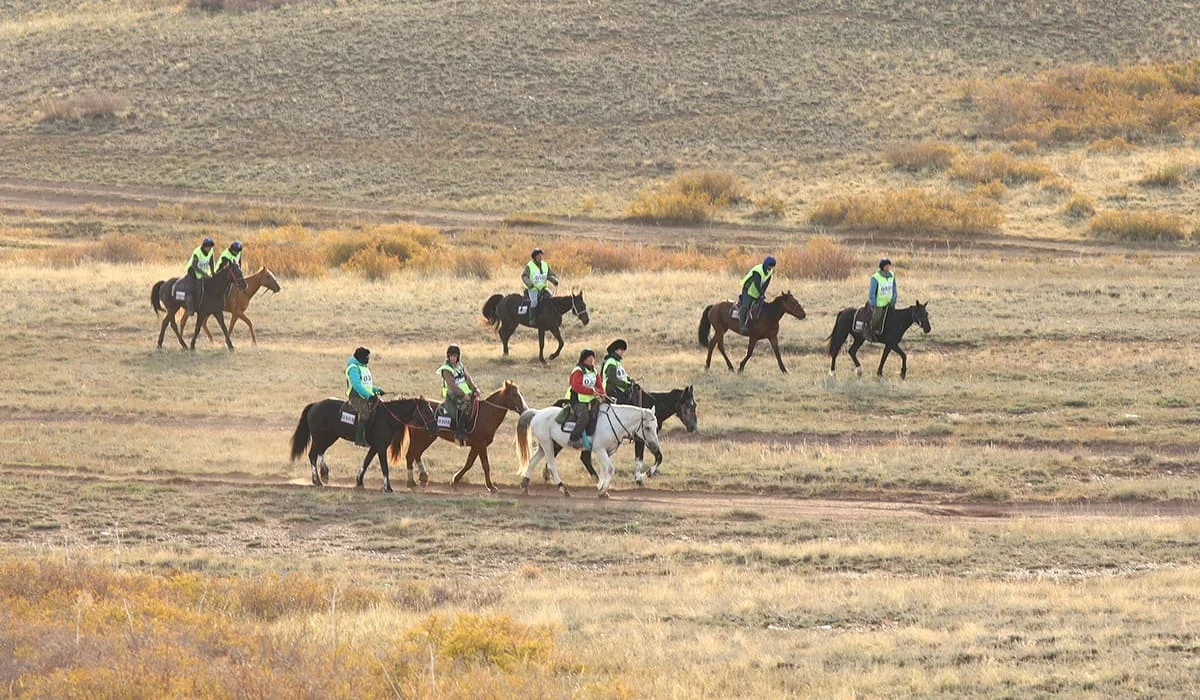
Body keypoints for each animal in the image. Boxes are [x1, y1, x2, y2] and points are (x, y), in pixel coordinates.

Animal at [291, 396, 432, 494]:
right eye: (426, 411)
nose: (434, 427)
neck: (387, 418)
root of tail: (315, 404)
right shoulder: (381, 447)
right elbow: (384, 467)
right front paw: (388, 488)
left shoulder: (375, 447)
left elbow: (366, 462)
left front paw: (359, 481)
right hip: (319, 438)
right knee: (313, 454)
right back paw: (318, 480)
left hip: (330, 437)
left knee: (320, 452)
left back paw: (323, 474)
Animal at [388, 384, 530, 492]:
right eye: (514, 395)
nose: (525, 409)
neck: (486, 414)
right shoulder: (481, 444)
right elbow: (485, 465)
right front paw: (491, 486)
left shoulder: (476, 446)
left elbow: (469, 463)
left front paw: (454, 480)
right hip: (422, 438)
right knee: (410, 455)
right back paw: (411, 482)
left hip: (428, 437)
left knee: (416, 454)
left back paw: (422, 477)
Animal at [516, 401, 667, 499]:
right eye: (647, 427)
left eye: (656, 426)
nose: (654, 446)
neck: (613, 422)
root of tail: (537, 413)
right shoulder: (600, 449)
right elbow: (610, 468)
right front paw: (602, 491)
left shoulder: (607, 451)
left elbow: (604, 469)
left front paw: (601, 487)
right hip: (548, 444)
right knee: (552, 465)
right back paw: (563, 489)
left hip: (543, 445)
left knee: (532, 461)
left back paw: (524, 486)